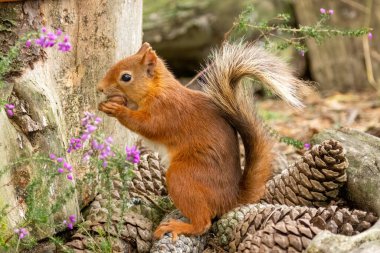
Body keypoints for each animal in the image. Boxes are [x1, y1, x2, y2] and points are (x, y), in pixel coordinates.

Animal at [98, 41, 306, 239]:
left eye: (126, 77)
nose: (99, 88)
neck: (157, 89)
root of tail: (230, 199)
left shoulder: (166, 111)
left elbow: (146, 125)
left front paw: (118, 109)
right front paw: (115, 103)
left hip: (182, 178)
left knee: (203, 224)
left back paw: (179, 227)